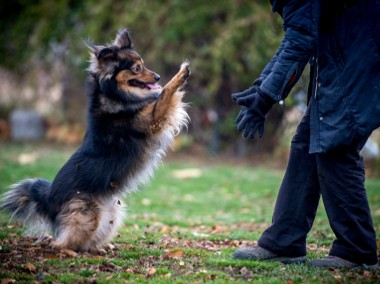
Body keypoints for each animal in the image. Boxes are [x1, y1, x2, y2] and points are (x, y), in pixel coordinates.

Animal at [0, 28, 190, 251]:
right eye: (137, 68)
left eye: (143, 64)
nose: (158, 76)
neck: (114, 95)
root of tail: (47, 197)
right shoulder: (153, 119)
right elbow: (165, 94)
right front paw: (180, 75)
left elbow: (164, 95)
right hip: (86, 216)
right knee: (61, 242)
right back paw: (68, 250)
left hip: (112, 212)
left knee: (87, 241)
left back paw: (100, 248)